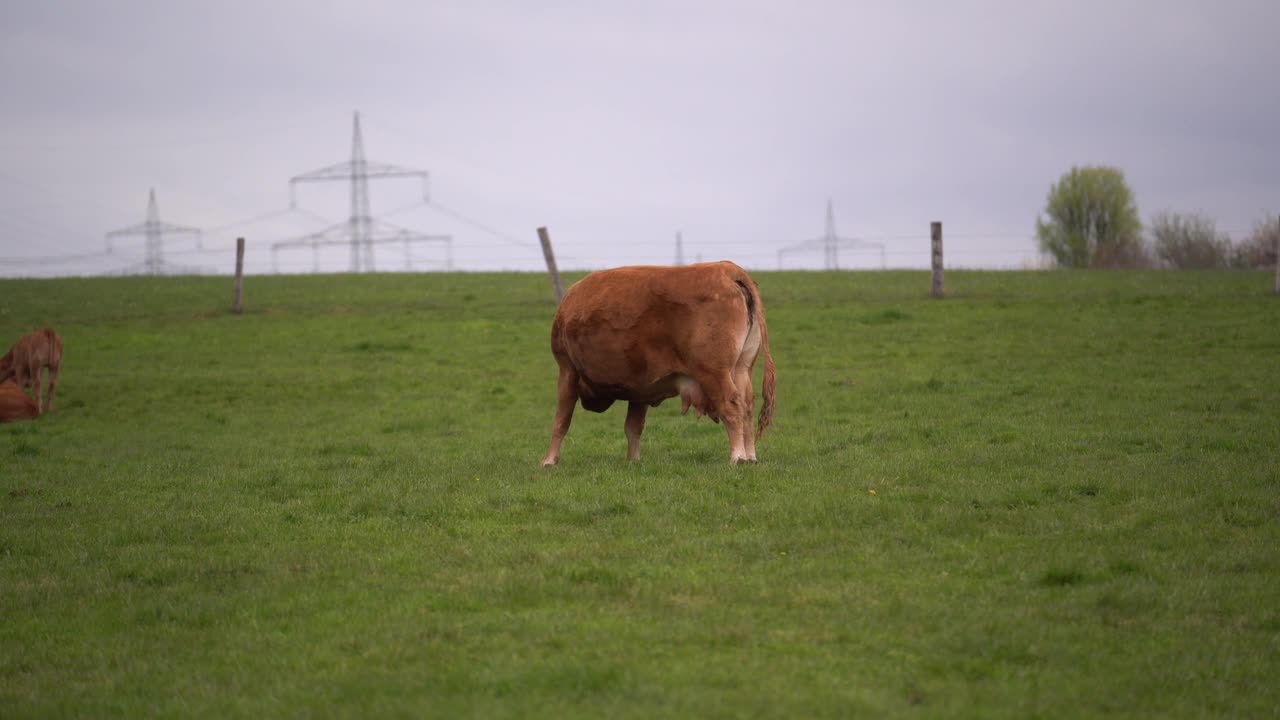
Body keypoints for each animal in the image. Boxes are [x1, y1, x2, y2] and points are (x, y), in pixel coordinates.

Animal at [537, 258, 768, 466]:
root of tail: (728, 271)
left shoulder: (567, 370)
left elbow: (561, 421)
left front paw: (549, 461)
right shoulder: (640, 389)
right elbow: (633, 427)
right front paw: (633, 461)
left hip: (714, 374)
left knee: (731, 405)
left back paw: (738, 457)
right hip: (741, 369)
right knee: (747, 406)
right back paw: (750, 457)